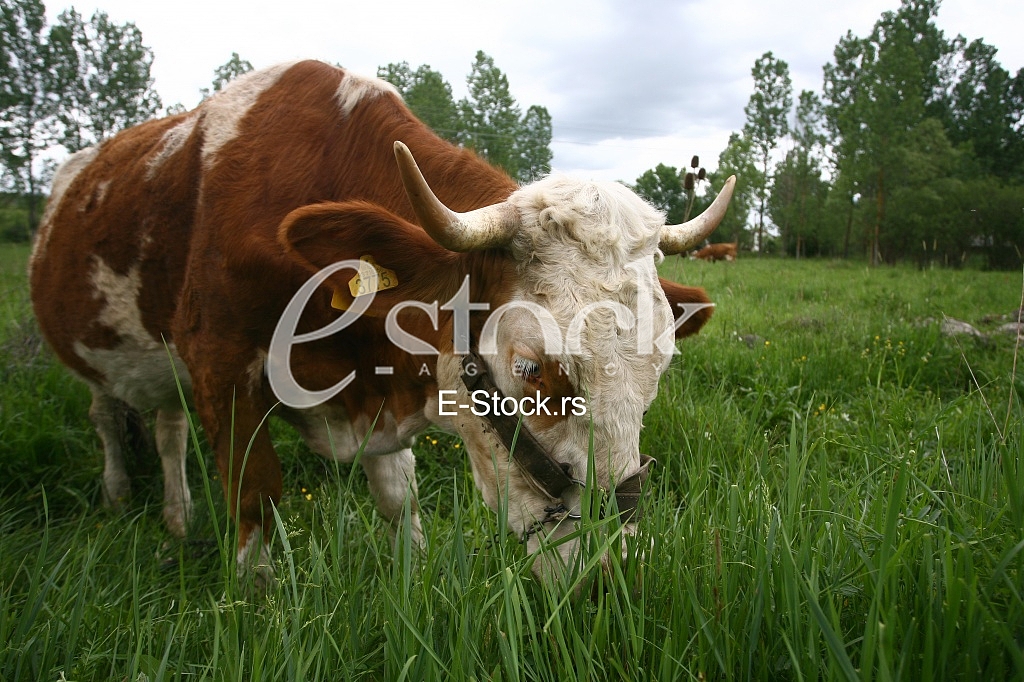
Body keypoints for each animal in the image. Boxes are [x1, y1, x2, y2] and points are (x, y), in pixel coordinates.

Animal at [30, 60, 734, 584]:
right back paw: (120, 496)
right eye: (531, 368)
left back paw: (178, 519)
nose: (610, 569)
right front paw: (254, 605)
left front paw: (412, 579)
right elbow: (256, 496)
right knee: (109, 418)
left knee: (168, 427)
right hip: (92, 357)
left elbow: (400, 500)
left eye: (659, 370)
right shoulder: (221, 369)